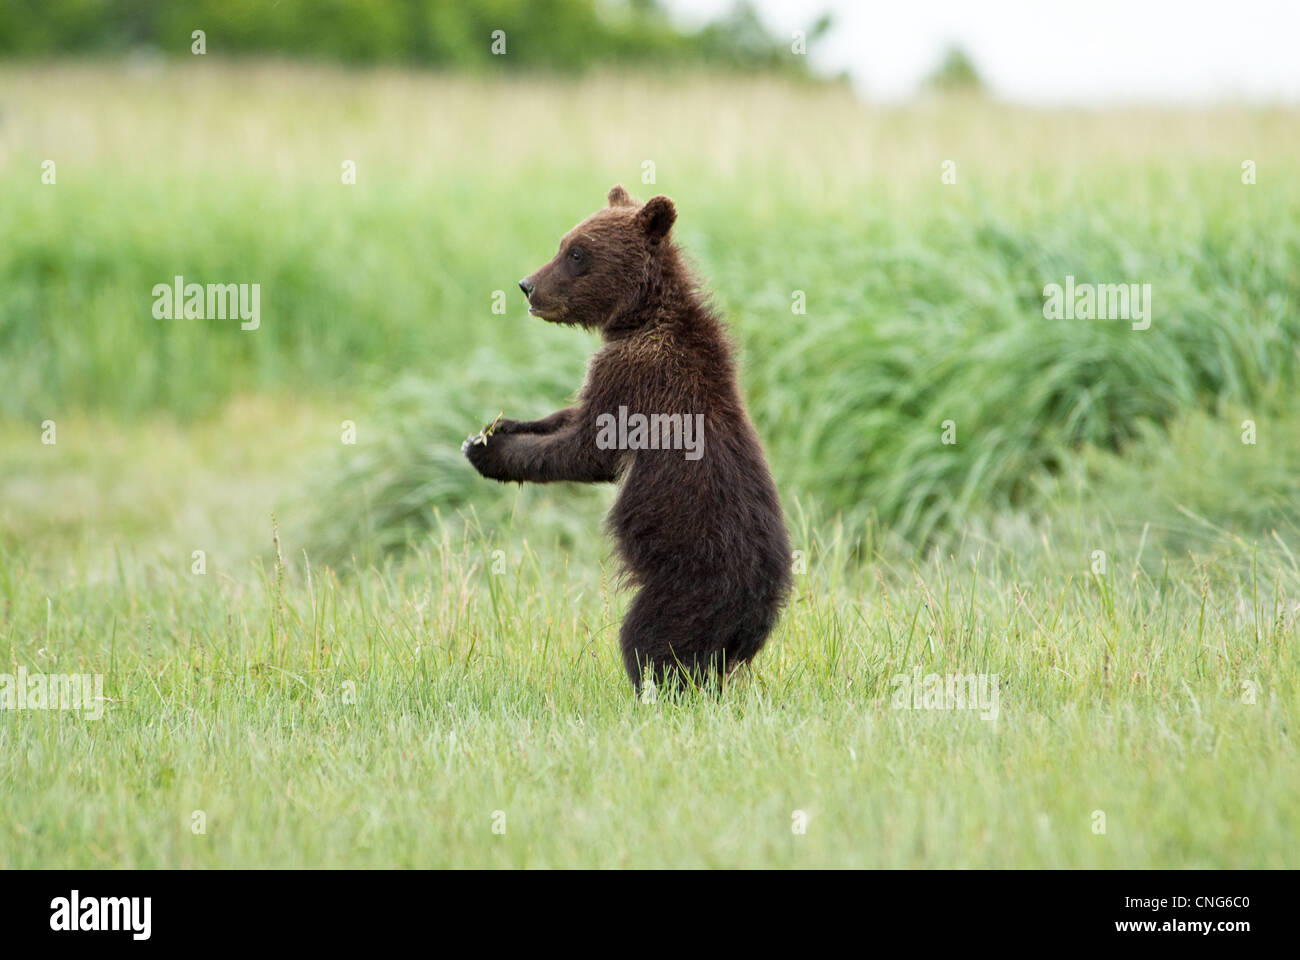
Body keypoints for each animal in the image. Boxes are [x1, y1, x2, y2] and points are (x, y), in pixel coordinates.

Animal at [463, 185, 791, 694]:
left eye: (577, 252)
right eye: (563, 243)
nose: (527, 285)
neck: (640, 318)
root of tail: (757, 606)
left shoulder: (637, 377)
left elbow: (587, 449)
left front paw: (490, 452)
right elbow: (571, 415)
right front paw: (499, 426)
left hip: (687, 583)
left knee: (651, 642)